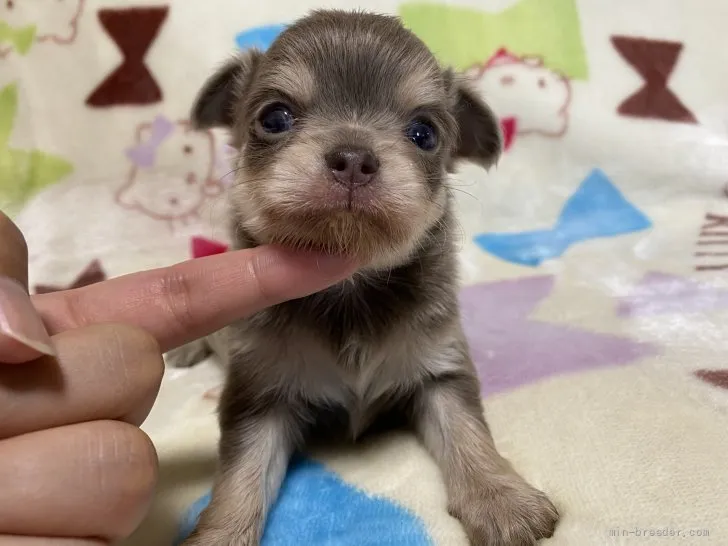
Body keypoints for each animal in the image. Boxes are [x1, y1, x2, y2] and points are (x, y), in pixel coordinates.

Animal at [173, 8, 560, 544]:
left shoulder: (439, 370)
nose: (354, 157)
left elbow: (467, 433)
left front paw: (501, 498)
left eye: (424, 133)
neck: (348, 288)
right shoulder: (259, 396)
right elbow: (240, 479)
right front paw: (218, 535)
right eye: (274, 118)